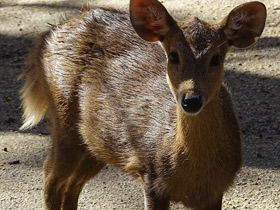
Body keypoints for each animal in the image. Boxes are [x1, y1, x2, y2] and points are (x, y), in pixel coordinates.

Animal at [19, 0, 264, 210]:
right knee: (50, 175)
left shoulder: (216, 191)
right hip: (63, 120)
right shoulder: (151, 176)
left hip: (96, 145)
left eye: (216, 58)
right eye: (173, 55)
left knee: (71, 184)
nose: (191, 100)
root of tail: (49, 33)